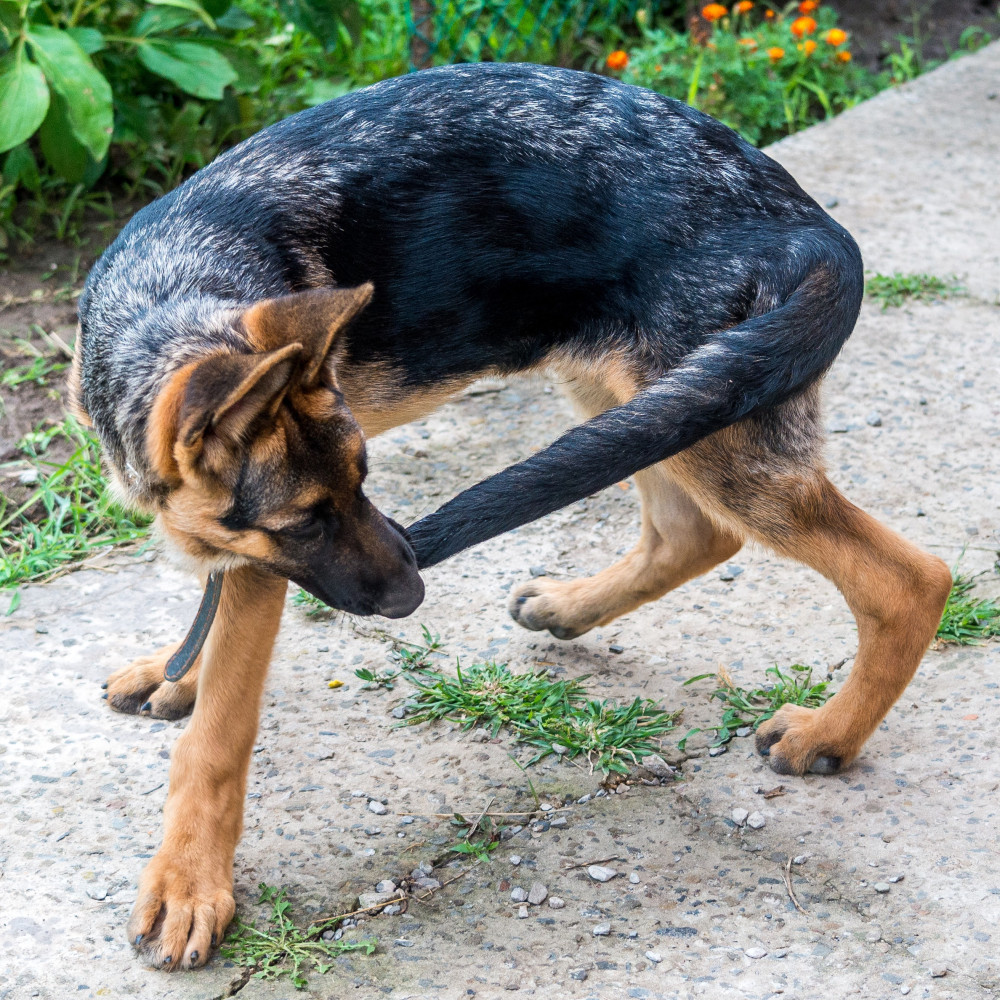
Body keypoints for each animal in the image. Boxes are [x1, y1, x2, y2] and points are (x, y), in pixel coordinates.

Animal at [72, 62, 952, 968]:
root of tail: (813, 229)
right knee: (694, 532)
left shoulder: (258, 568)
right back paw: (572, 607)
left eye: (364, 480)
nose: (414, 596)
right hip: (649, 401)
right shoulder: (244, 542)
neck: (168, 300)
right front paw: (177, 672)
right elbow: (206, 617)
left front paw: (188, 884)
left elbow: (218, 735)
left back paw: (829, 735)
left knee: (907, 578)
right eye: (310, 520)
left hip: (711, 418)